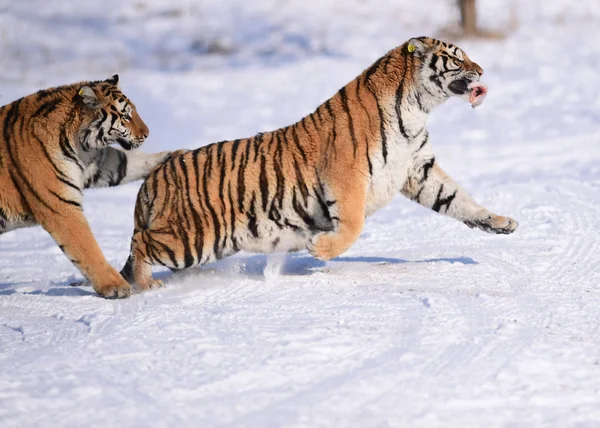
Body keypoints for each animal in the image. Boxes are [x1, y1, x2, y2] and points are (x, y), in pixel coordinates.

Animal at [0, 73, 176, 298]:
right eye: (126, 116)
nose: (147, 134)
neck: (76, 141)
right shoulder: (61, 206)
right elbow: (87, 247)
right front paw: (115, 286)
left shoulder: (98, 162)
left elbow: (129, 162)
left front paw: (175, 153)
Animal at [119, 36, 516, 292]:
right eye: (457, 58)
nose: (481, 70)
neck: (417, 108)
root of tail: (153, 179)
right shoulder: (346, 175)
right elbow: (353, 224)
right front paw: (318, 248)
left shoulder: (418, 169)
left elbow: (458, 200)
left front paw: (501, 222)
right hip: (190, 238)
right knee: (140, 242)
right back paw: (145, 285)